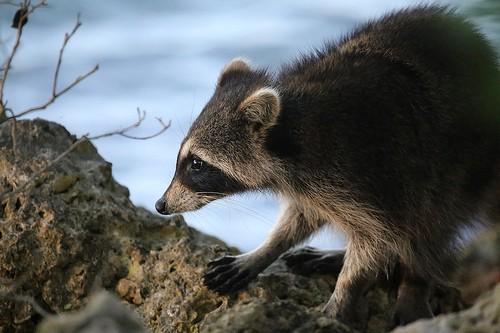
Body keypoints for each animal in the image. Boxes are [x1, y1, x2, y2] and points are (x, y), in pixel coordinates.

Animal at [156, 4, 500, 326]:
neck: (291, 133)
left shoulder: (374, 174)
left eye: (197, 163)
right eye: (184, 159)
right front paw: (265, 250)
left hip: (460, 160)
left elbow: (376, 239)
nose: (161, 205)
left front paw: (344, 294)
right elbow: (301, 217)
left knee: (433, 219)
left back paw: (414, 281)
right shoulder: (314, 188)